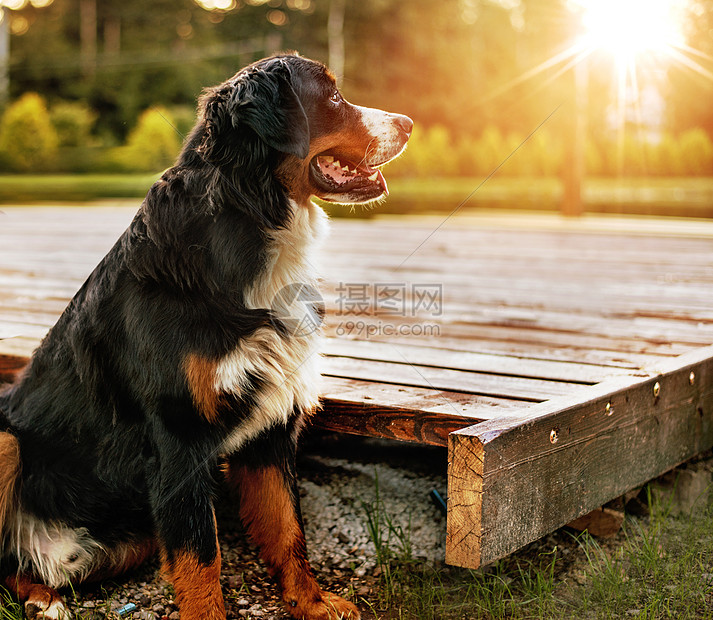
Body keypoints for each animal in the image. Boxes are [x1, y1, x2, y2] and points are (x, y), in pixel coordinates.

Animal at [0, 54, 412, 620]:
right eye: (331, 97)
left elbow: (288, 529)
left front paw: (311, 603)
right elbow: (201, 557)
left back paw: (45, 595)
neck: (249, 228)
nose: (409, 123)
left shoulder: (272, 424)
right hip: (7, 441)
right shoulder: (179, 436)